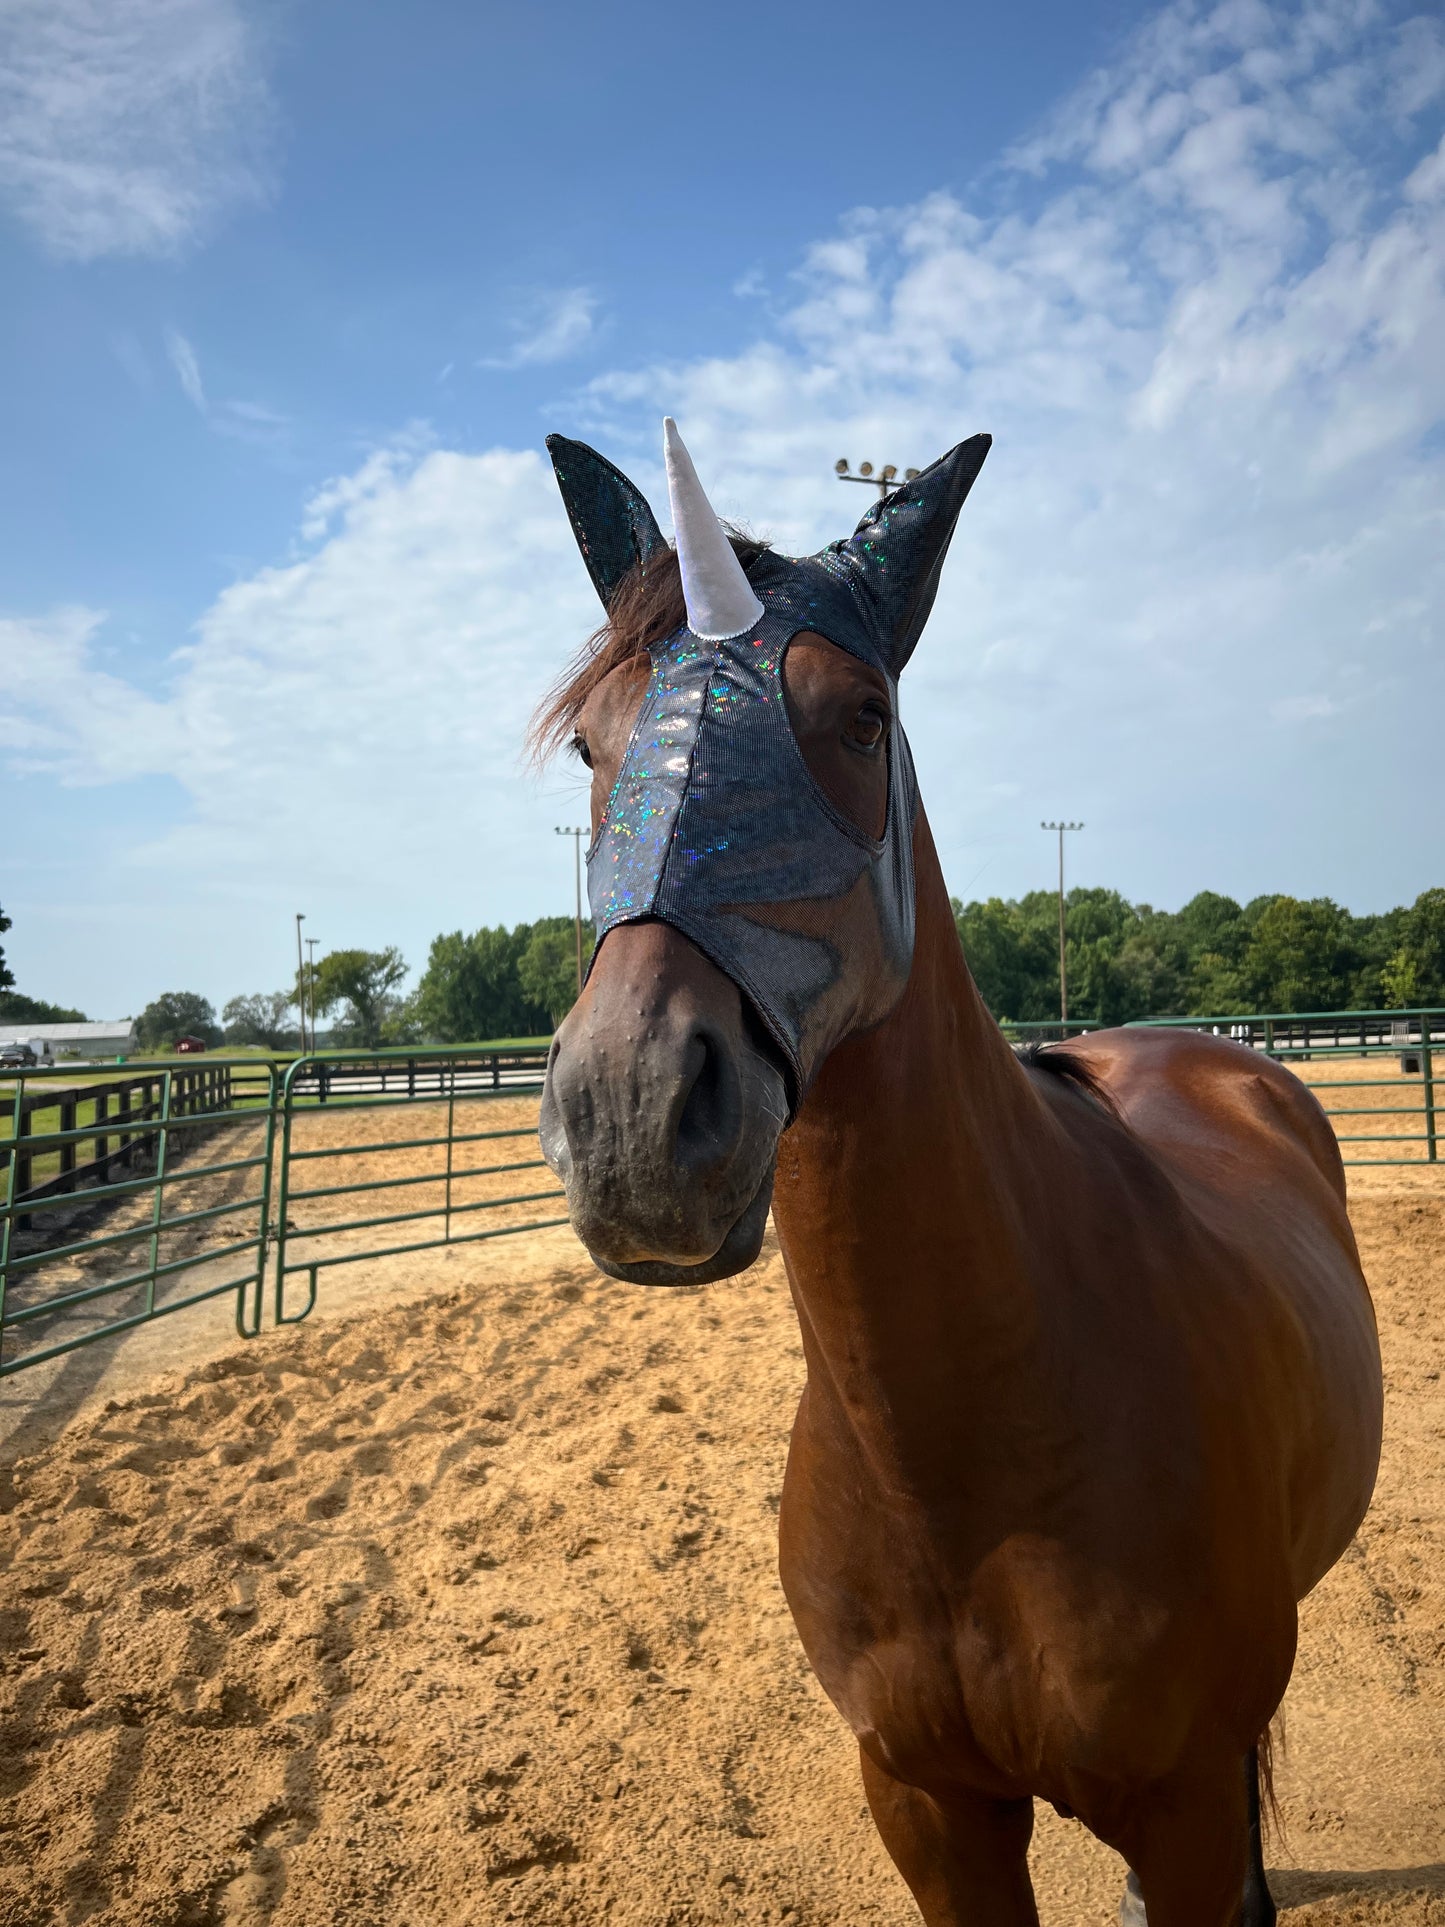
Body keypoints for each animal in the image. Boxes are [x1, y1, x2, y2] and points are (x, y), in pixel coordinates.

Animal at [531, 419, 1384, 1926]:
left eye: (862, 716)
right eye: (592, 740)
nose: (629, 1112)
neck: (960, 1455)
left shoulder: (1174, 1804)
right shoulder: (925, 1804)